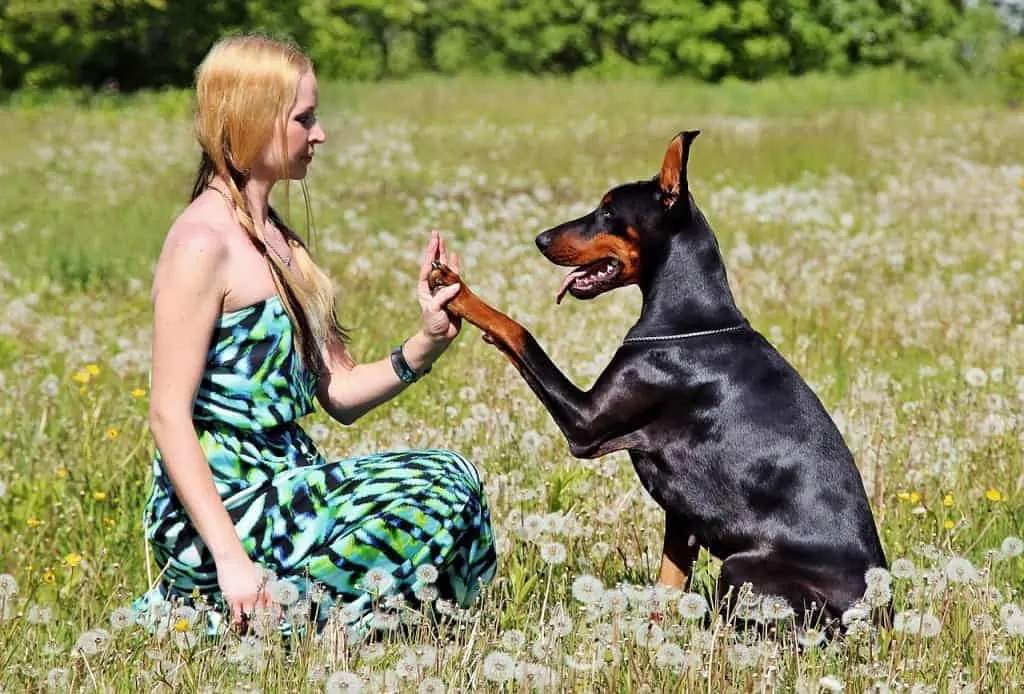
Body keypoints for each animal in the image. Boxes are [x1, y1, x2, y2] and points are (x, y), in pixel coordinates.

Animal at [428, 132, 884, 630]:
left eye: (609, 211)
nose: (541, 238)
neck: (692, 319)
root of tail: (880, 613)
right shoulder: (682, 518)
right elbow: (667, 589)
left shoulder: (586, 423)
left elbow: (518, 331)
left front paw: (458, 289)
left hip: (741, 568)